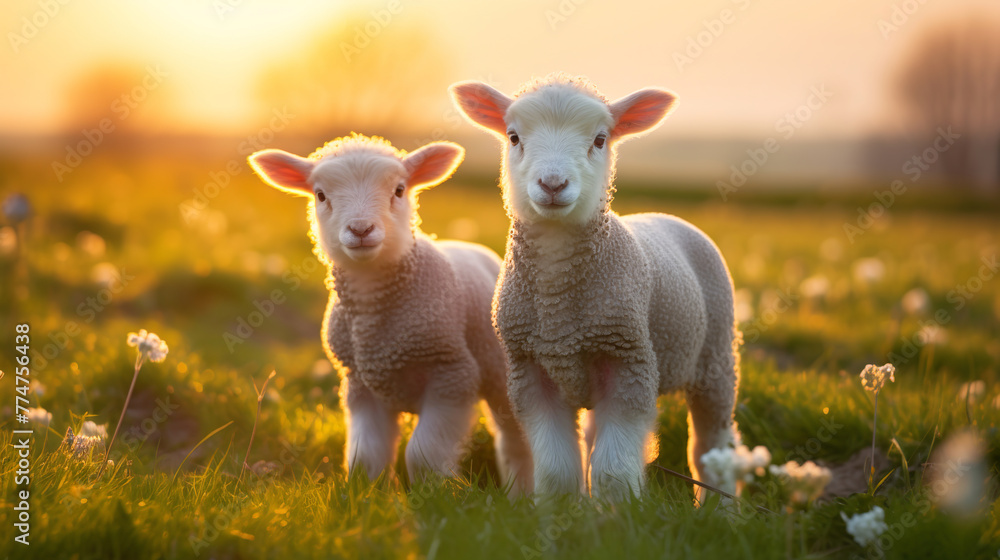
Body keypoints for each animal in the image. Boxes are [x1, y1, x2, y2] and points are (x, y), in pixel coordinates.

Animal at [248, 134, 532, 495]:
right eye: (320, 194)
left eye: (399, 190)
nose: (360, 229)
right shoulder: (360, 384)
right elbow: (366, 457)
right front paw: (370, 495)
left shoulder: (452, 373)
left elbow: (423, 453)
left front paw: (436, 495)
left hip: (500, 371)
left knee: (515, 439)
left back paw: (523, 493)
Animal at [451, 74, 741, 502]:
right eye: (513, 137)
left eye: (600, 139)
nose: (553, 184)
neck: (558, 304)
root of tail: (666, 215)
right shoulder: (529, 369)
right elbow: (556, 471)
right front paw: (562, 513)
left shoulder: (628, 359)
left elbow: (613, 471)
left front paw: (619, 516)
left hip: (716, 356)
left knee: (712, 444)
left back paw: (722, 507)